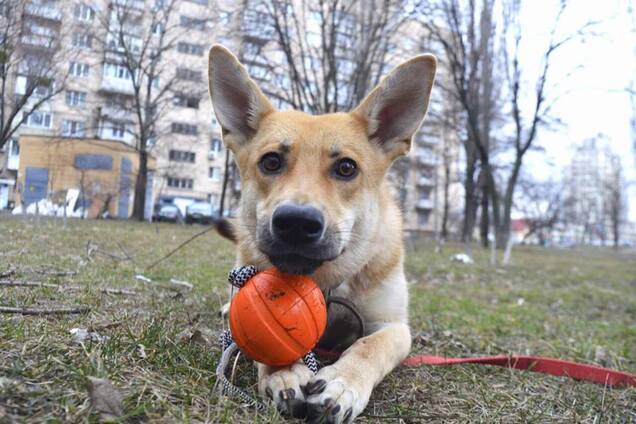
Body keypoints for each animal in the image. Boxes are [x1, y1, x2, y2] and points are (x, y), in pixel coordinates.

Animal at [209, 44, 438, 422]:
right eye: (271, 162)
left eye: (346, 167)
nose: (296, 223)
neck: (327, 280)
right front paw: (286, 372)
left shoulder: (394, 326)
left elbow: (369, 345)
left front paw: (343, 384)